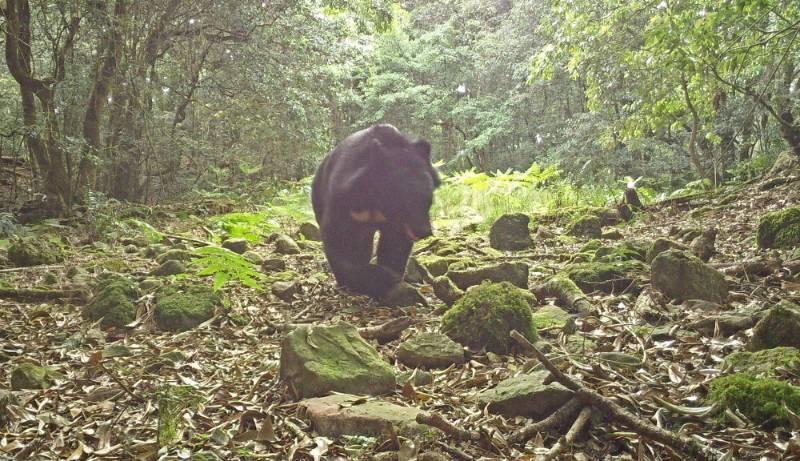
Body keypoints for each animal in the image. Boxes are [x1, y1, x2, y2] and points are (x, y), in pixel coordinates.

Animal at [312, 125, 440, 298]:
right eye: (403, 201)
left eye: (429, 200)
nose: (424, 231)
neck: (378, 204)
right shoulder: (345, 200)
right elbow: (339, 239)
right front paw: (377, 278)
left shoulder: (398, 225)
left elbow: (395, 243)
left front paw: (391, 275)